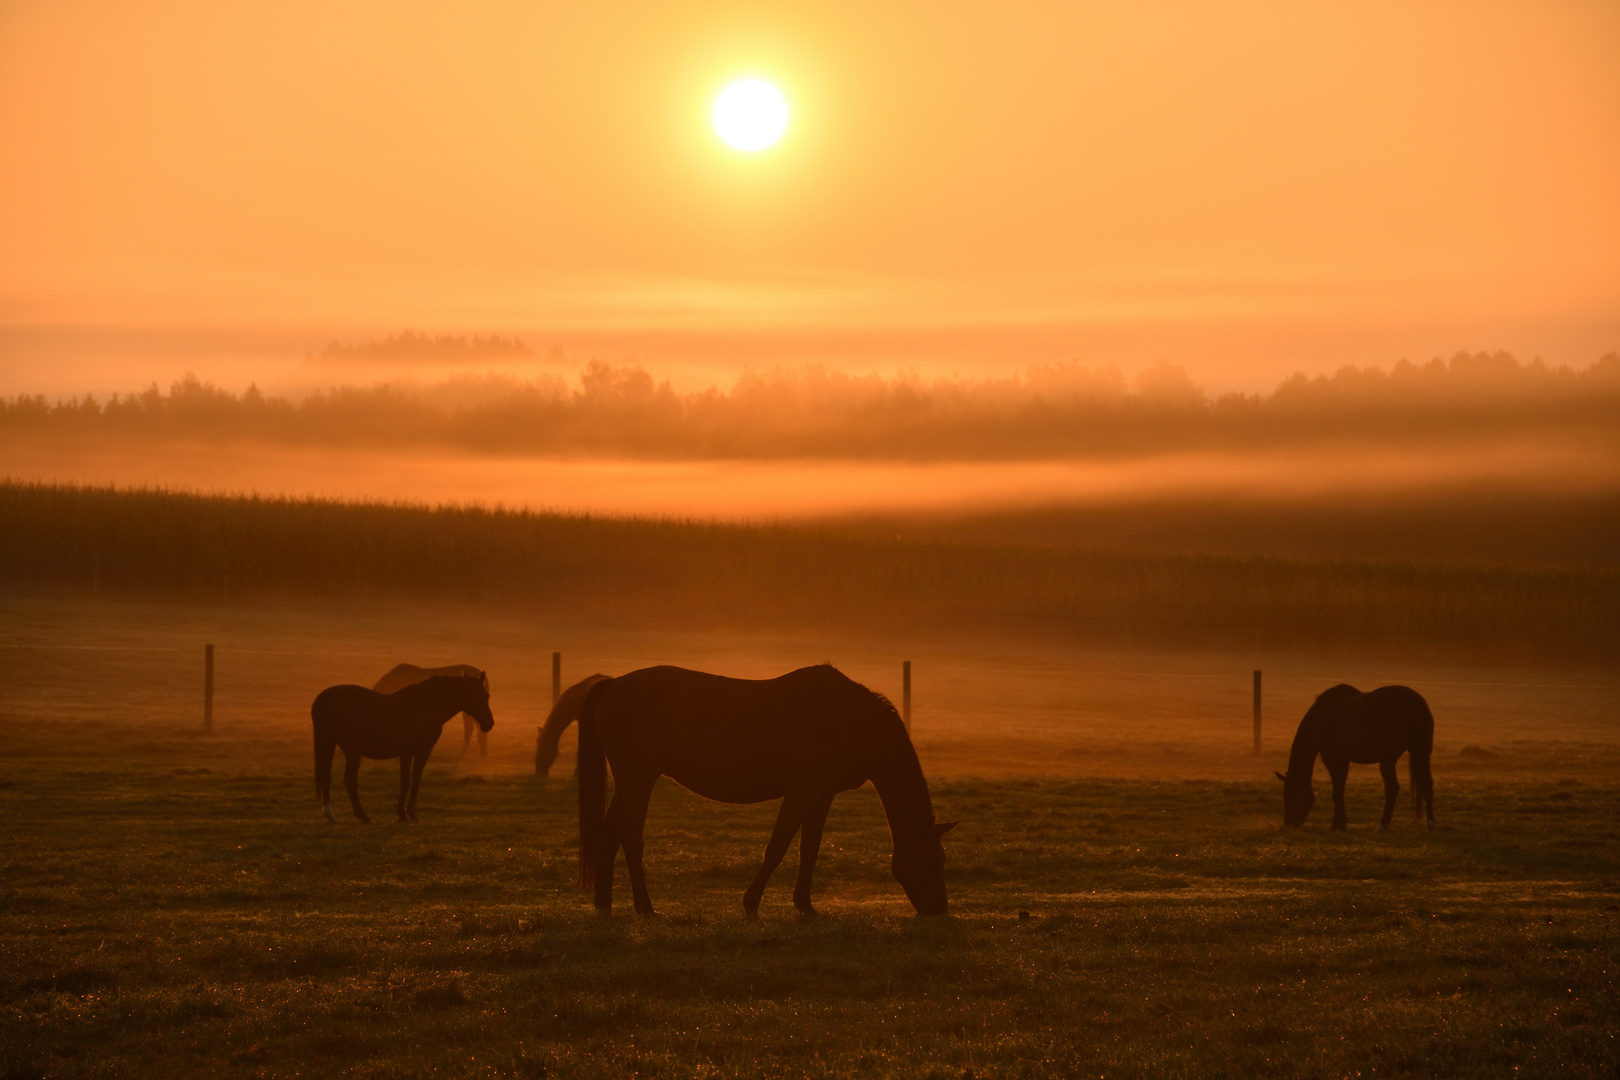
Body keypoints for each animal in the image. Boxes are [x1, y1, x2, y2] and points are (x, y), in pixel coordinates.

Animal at [314, 676, 492, 829]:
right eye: (484, 695)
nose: (489, 723)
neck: (427, 704)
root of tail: (327, 696)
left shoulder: (405, 753)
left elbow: (404, 781)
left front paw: (401, 814)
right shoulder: (422, 750)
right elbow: (416, 780)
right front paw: (411, 814)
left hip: (329, 744)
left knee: (326, 777)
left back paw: (330, 815)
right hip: (352, 751)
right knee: (349, 780)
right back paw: (362, 816)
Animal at [1276, 683, 1432, 835]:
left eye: (1288, 794)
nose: (1289, 823)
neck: (1319, 716)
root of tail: (1417, 705)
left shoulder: (1332, 758)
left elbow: (1337, 791)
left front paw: (1337, 824)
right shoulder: (1344, 760)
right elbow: (1340, 789)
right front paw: (1341, 823)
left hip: (1388, 760)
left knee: (1392, 788)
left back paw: (1383, 826)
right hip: (1422, 754)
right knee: (1427, 784)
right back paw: (1431, 825)